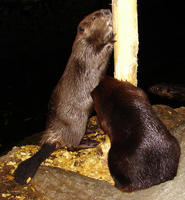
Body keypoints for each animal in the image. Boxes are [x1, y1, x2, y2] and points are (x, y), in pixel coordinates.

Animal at [13, 9, 113, 184]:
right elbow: (98, 54)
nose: (107, 11)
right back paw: (90, 142)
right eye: (94, 16)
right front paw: (112, 39)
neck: (81, 42)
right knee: (71, 146)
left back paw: (93, 129)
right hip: (76, 123)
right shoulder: (86, 52)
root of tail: (51, 141)